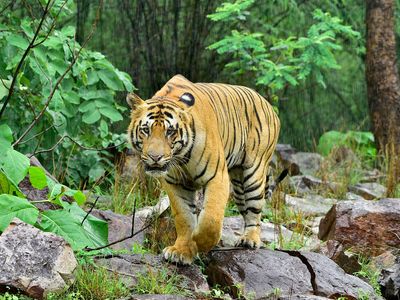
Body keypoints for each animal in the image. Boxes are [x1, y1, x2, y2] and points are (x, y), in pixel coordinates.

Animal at [126, 75, 280, 264]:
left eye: (170, 131)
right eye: (145, 130)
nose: (156, 157)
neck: (181, 158)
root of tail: (268, 104)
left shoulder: (217, 176)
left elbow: (211, 220)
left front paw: (199, 243)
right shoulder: (175, 183)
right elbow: (184, 217)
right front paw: (182, 250)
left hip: (254, 173)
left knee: (254, 211)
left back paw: (249, 240)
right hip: (238, 184)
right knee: (245, 208)